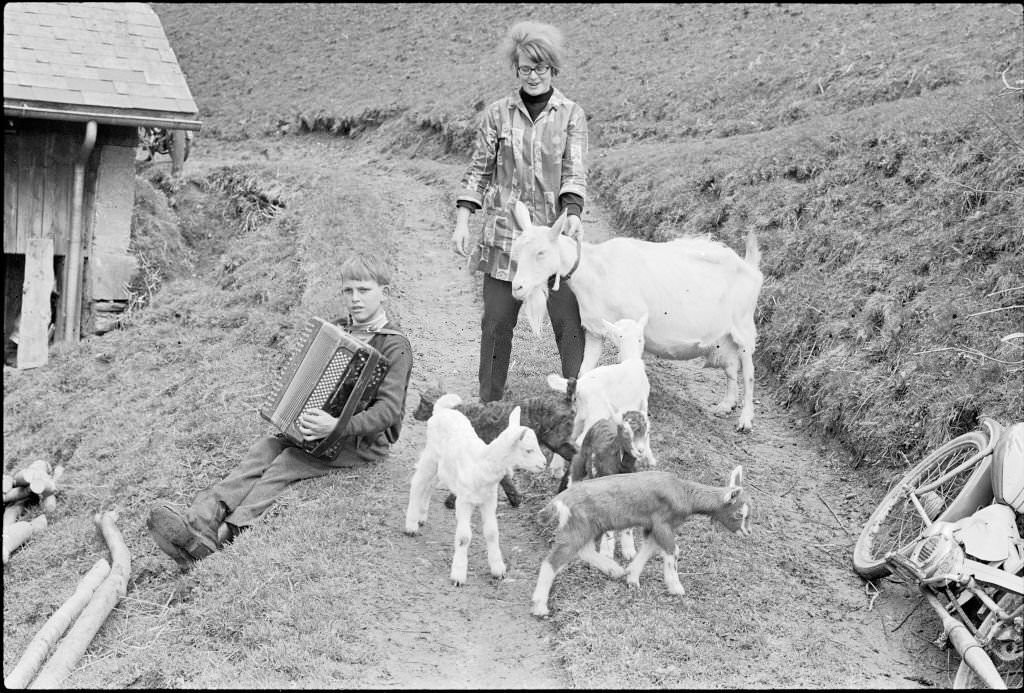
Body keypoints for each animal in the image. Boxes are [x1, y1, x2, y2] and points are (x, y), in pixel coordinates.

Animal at [403, 395, 548, 585]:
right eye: (528, 450)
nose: (544, 463)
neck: (483, 462)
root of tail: (441, 410)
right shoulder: (464, 501)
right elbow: (464, 537)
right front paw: (458, 575)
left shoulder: (489, 500)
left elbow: (492, 533)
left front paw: (498, 570)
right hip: (431, 455)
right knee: (418, 483)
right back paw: (411, 525)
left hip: (443, 466)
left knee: (430, 485)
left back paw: (421, 516)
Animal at [512, 197, 761, 431]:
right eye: (516, 252)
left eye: (541, 252)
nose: (517, 287)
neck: (596, 270)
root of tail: (750, 267)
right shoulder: (594, 330)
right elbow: (584, 370)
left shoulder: (633, 326)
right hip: (724, 338)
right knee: (732, 368)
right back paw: (726, 405)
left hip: (744, 327)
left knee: (748, 372)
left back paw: (745, 420)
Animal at [532, 464, 749, 618]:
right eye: (739, 514)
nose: (747, 533)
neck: (684, 493)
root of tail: (560, 500)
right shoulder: (663, 523)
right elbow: (673, 551)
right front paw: (676, 588)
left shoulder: (653, 527)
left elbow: (648, 549)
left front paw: (632, 578)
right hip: (579, 526)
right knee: (553, 560)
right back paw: (540, 607)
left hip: (587, 526)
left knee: (583, 550)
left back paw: (614, 570)